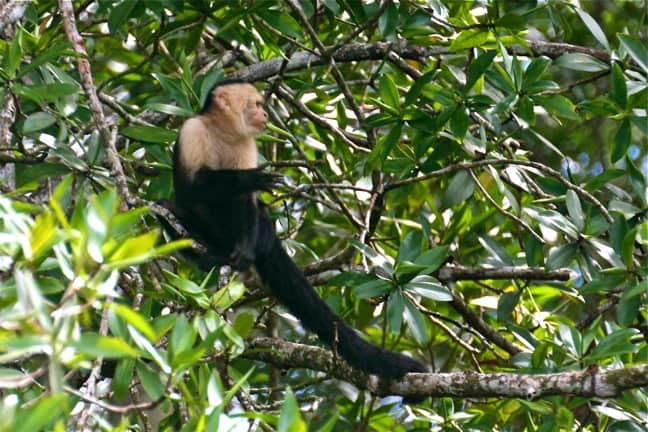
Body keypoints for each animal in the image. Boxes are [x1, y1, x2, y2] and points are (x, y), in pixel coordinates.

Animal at [170, 80, 428, 384]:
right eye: (256, 104)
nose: (265, 114)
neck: (223, 132)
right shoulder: (192, 131)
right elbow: (190, 187)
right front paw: (246, 178)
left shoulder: (246, 144)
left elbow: (245, 202)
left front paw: (245, 242)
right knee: (168, 207)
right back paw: (209, 255)